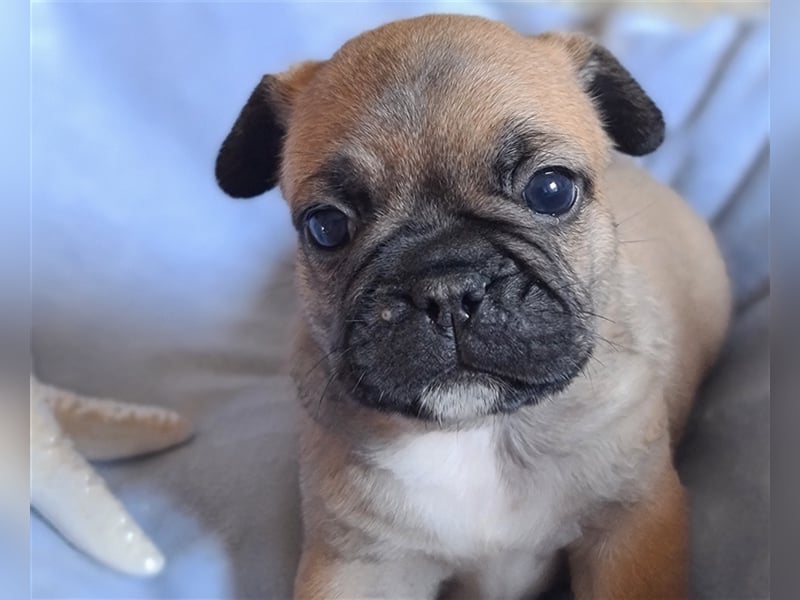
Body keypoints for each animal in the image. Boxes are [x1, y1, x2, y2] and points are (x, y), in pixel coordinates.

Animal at [214, 14, 732, 600]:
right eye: (326, 226)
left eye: (552, 190)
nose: (446, 289)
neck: (482, 433)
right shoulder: (358, 561)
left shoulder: (631, 524)